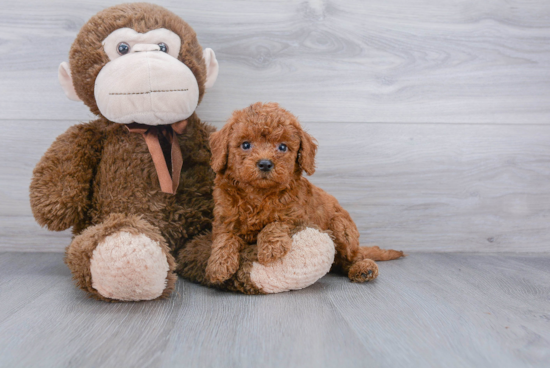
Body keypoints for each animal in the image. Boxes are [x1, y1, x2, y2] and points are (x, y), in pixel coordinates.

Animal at [207, 103, 406, 288]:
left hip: (341, 227)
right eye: (246, 145)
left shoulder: (297, 216)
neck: (259, 193)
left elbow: (276, 223)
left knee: (352, 256)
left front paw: (270, 248)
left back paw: (363, 268)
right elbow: (224, 238)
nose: (265, 164)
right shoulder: (224, 218)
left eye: (282, 147)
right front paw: (218, 265)